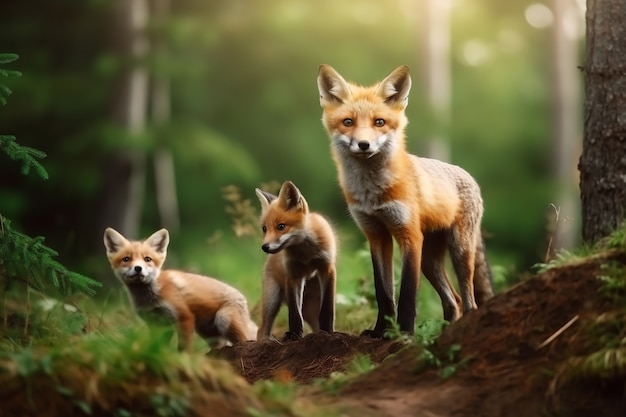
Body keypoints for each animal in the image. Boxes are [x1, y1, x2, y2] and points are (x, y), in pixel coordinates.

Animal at [103, 226, 258, 350]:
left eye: (147, 259)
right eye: (126, 259)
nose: (138, 268)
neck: (151, 296)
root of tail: (242, 298)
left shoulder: (184, 317)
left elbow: (184, 347)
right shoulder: (157, 324)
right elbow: (159, 345)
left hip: (224, 318)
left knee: (245, 340)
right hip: (207, 332)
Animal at [254, 180, 336, 340]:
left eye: (281, 226)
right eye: (264, 228)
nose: (264, 247)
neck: (306, 254)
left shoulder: (327, 268)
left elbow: (327, 309)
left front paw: (328, 332)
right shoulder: (293, 275)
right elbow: (294, 314)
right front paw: (294, 335)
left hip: (311, 305)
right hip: (272, 300)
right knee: (261, 329)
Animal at [316, 66, 492, 338]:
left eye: (379, 122)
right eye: (348, 122)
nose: (364, 144)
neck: (372, 192)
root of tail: (467, 174)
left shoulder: (408, 234)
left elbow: (407, 293)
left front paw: (406, 332)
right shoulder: (376, 235)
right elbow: (384, 292)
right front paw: (381, 331)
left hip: (459, 250)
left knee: (468, 299)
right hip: (429, 262)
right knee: (453, 301)